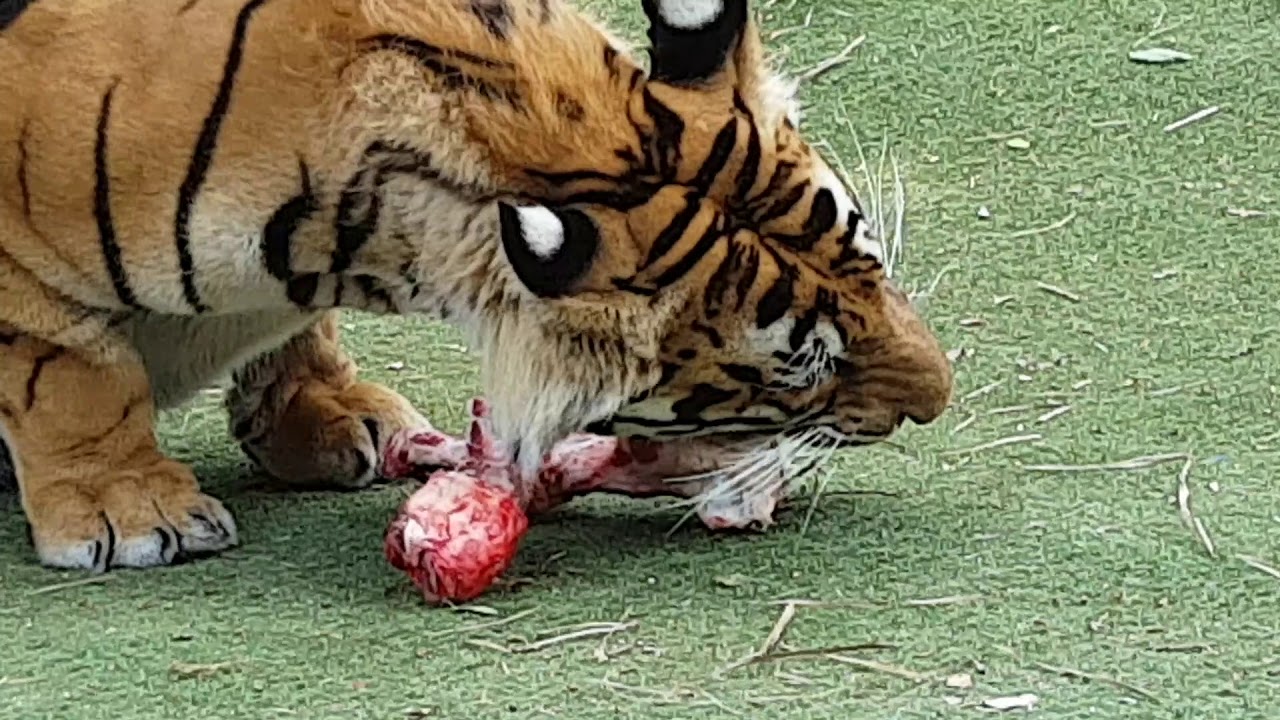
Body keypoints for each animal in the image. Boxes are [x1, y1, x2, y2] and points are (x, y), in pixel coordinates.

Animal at [0, 0, 954, 574]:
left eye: (870, 258)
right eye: (805, 367)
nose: (940, 399)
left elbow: (299, 335)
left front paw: (330, 413)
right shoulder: (25, 278)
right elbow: (74, 373)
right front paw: (126, 506)